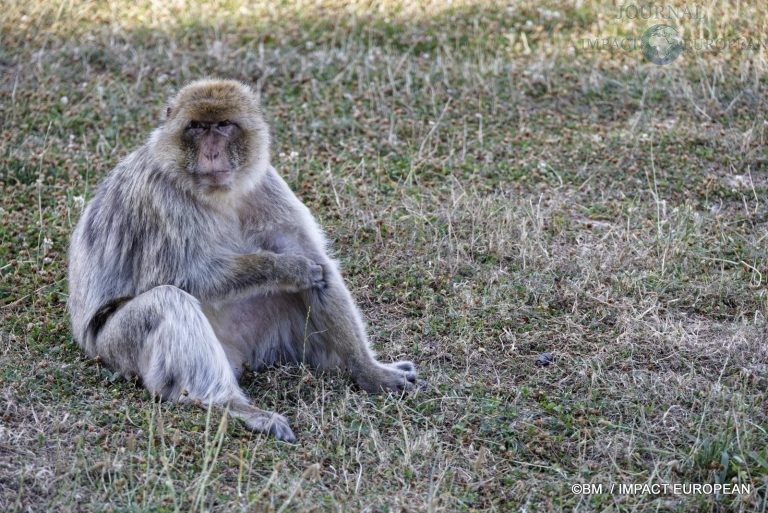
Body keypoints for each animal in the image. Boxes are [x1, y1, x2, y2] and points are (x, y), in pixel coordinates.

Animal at [69, 79, 420, 440]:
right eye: (197, 127)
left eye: (223, 125)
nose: (211, 152)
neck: (217, 194)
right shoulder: (161, 200)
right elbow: (181, 277)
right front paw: (287, 268)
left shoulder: (267, 185)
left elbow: (320, 267)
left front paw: (369, 371)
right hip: (114, 347)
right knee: (167, 301)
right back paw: (232, 404)